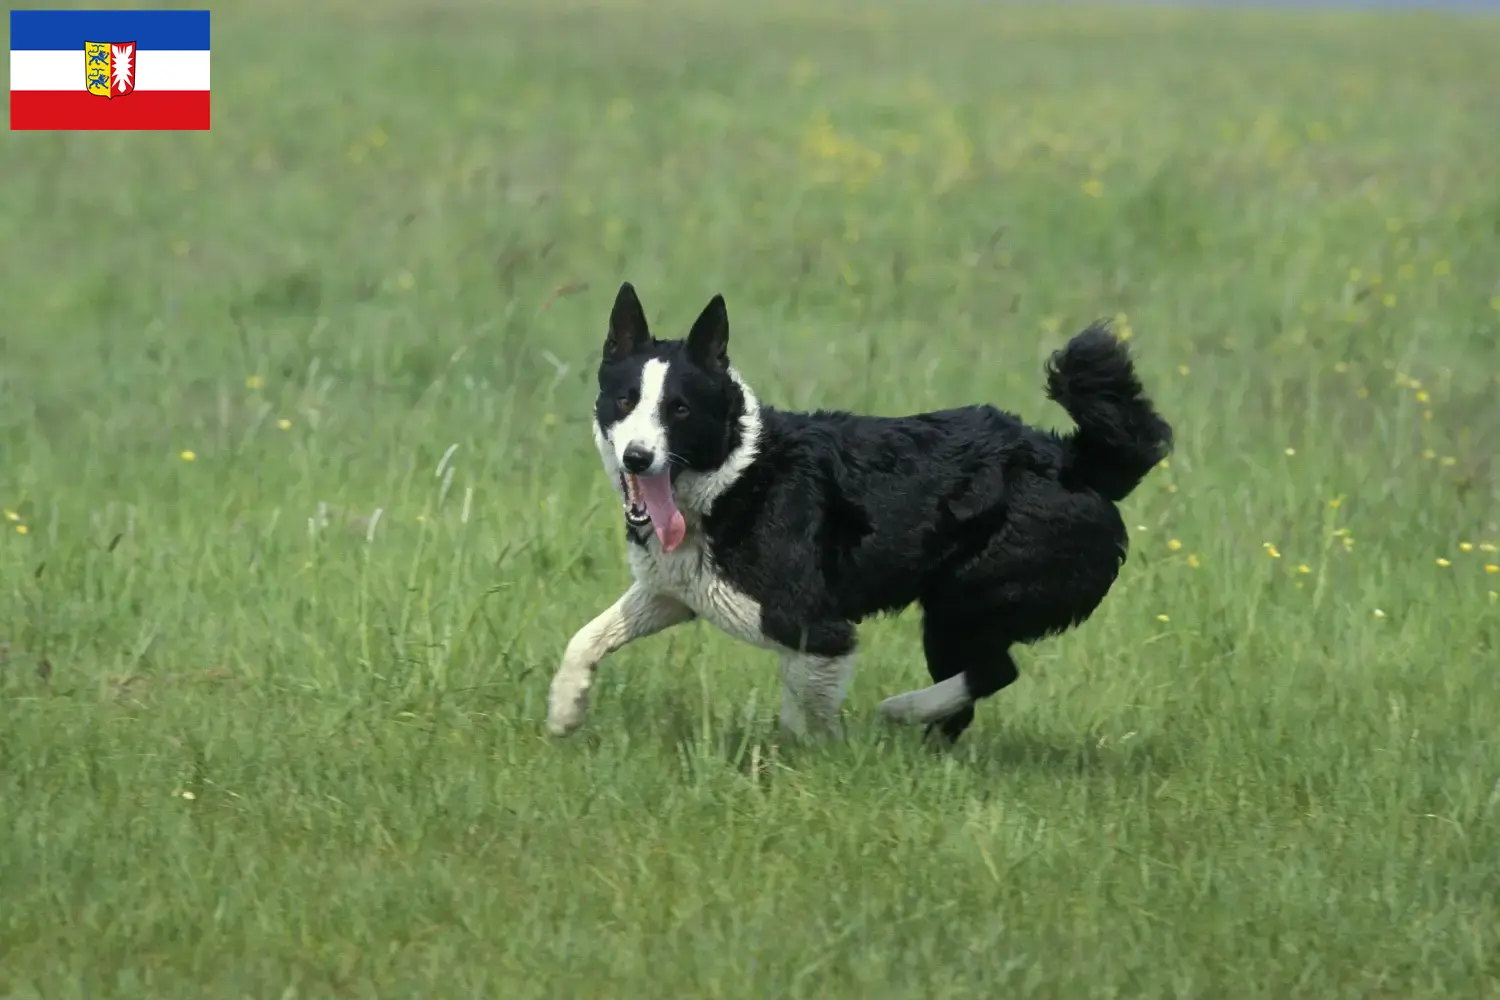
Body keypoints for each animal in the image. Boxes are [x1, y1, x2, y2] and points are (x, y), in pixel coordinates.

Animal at [546, 281, 1176, 743]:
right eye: (624, 401)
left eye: (679, 410)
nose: (638, 456)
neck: (734, 476)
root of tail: (1078, 460)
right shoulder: (674, 591)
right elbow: (586, 637)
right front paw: (564, 711)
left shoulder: (814, 627)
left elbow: (807, 713)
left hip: (963, 597)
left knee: (994, 671)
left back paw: (902, 711)